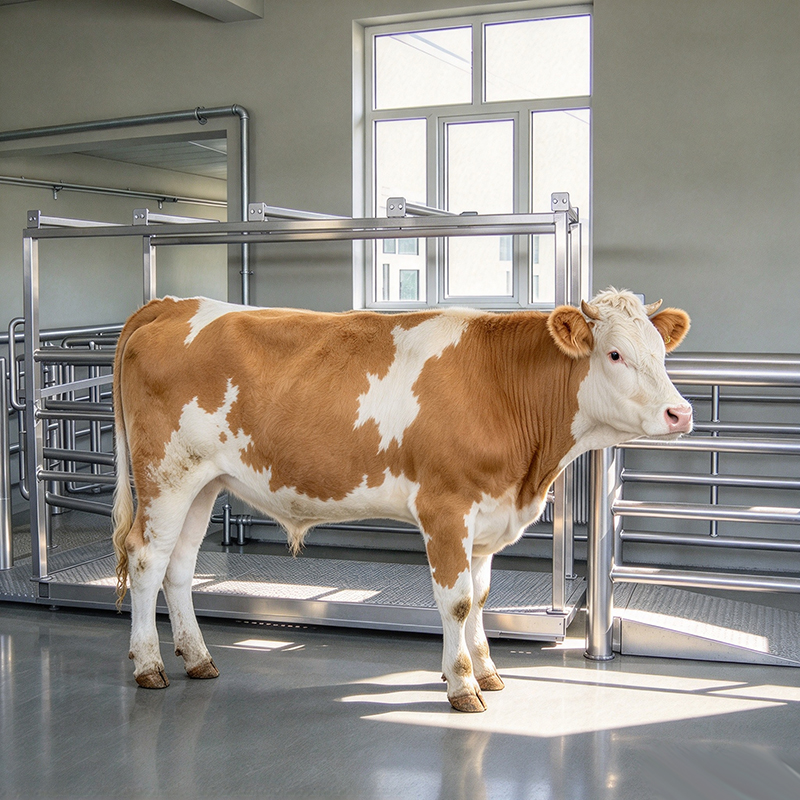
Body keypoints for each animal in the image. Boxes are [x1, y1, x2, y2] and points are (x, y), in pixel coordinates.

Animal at [112, 288, 692, 712]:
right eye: (615, 354)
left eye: (661, 354)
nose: (680, 413)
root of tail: (173, 304)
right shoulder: (445, 507)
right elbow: (456, 601)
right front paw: (462, 685)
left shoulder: (487, 516)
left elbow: (482, 597)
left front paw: (488, 671)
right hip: (167, 474)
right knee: (146, 559)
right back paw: (148, 665)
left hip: (203, 483)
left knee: (179, 566)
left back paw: (197, 658)